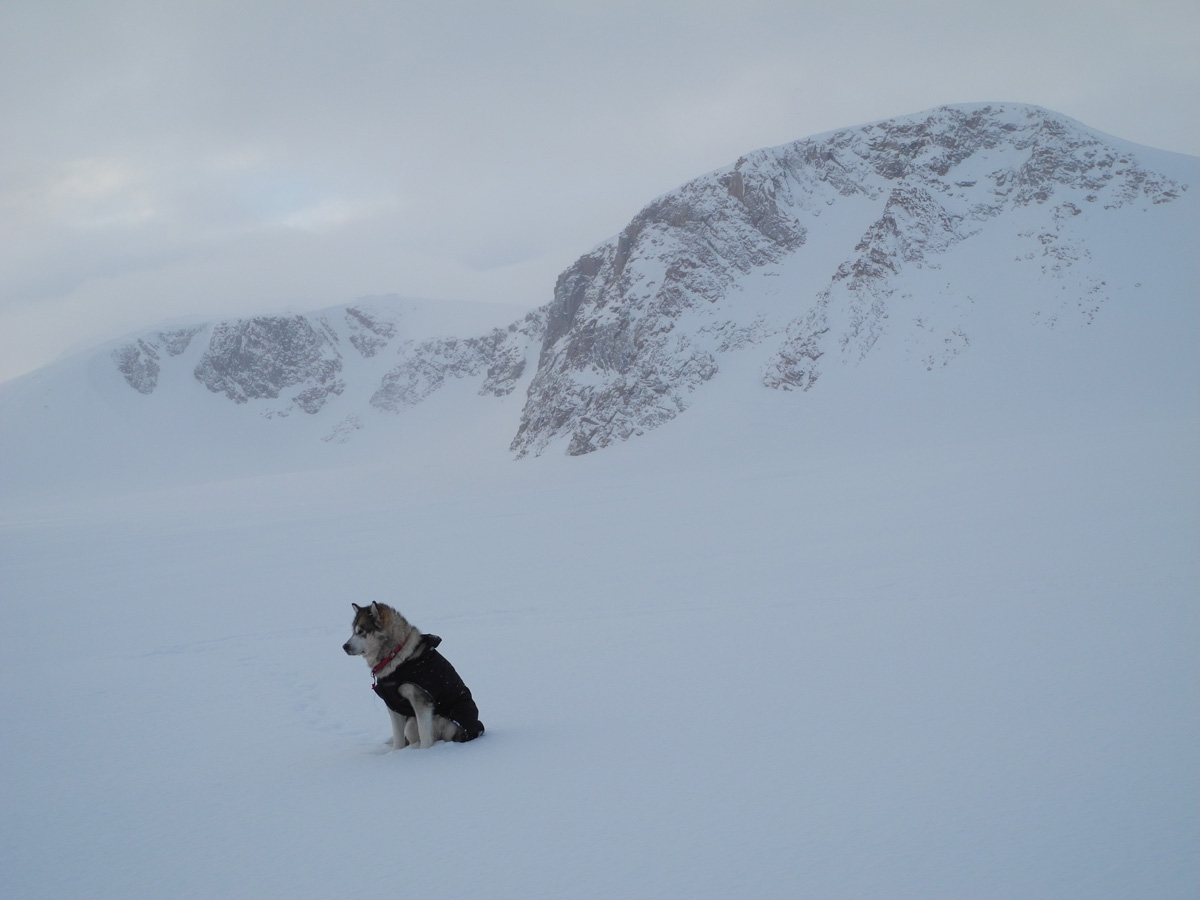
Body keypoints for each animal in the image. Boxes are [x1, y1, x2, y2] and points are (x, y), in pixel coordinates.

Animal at [343, 607, 482, 753]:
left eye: (361, 631)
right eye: (353, 631)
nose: (344, 646)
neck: (396, 658)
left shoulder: (420, 700)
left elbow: (424, 733)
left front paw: (424, 752)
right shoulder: (392, 704)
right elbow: (397, 736)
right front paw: (396, 753)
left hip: (449, 723)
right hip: (411, 725)